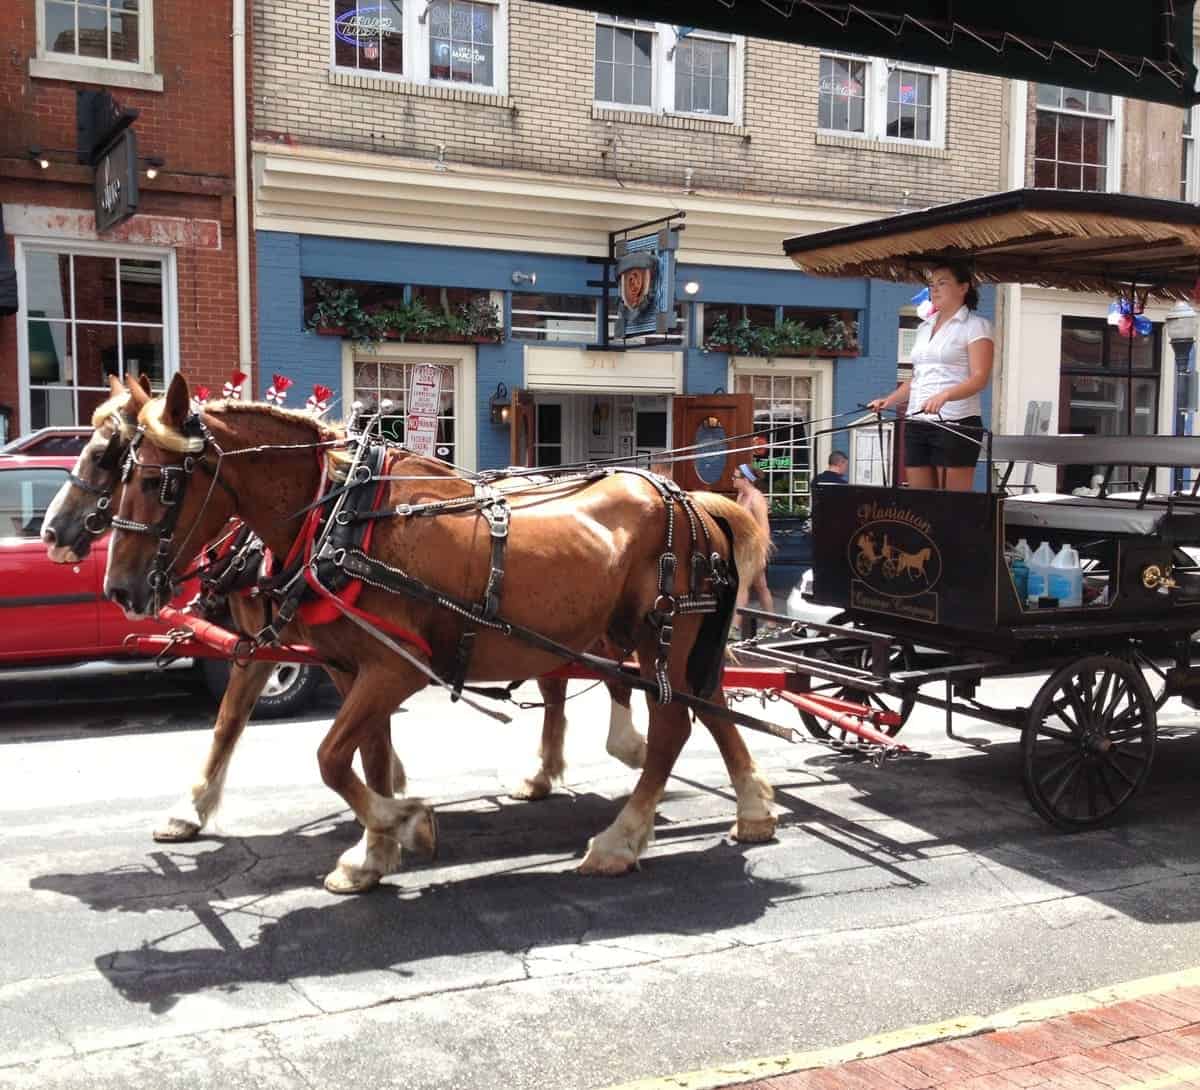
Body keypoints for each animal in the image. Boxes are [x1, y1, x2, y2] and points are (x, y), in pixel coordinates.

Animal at [40, 377, 648, 839]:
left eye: (142, 475)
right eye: (117, 463)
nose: (119, 588)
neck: (334, 515)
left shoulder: (369, 655)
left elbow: (323, 741)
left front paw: (390, 812)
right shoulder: (282, 647)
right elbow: (232, 723)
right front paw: (191, 810)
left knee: (615, 677)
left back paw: (629, 750)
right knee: (559, 682)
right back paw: (546, 774)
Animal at [104, 373, 775, 893]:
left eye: (160, 482)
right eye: (120, 471)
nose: (120, 589)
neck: (342, 516)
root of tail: (692, 500)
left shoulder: (398, 665)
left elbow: (329, 758)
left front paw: (406, 821)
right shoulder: (352, 667)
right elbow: (364, 756)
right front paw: (374, 852)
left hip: (660, 634)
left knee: (673, 727)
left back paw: (620, 838)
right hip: (661, 642)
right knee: (706, 704)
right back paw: (751, 806)